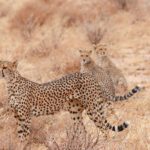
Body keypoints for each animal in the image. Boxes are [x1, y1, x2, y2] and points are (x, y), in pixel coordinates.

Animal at [0, 60, 141, 141]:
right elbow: (20, 136)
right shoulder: (18, 117)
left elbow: (25, 136)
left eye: (5, 67)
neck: (11, 84)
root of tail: (89, 76)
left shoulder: (26, 117)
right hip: (75, 112)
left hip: (92, 109)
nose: (0, 71)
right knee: (83, 131)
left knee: (104, 128)